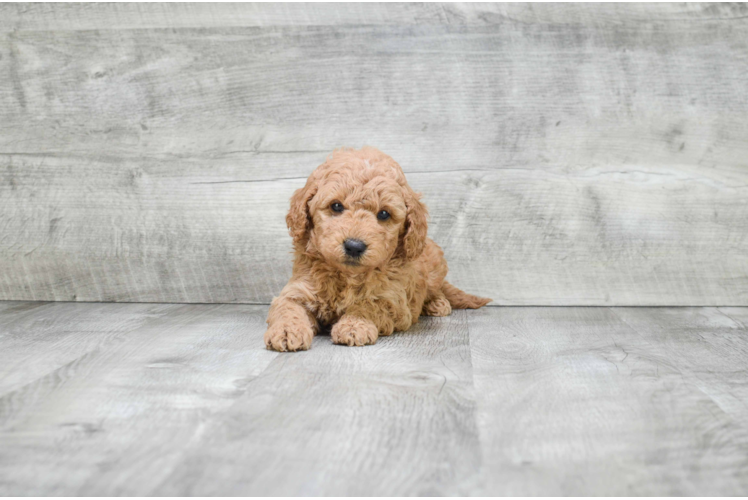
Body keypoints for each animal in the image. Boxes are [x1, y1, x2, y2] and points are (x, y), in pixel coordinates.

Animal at [262, 147, 490, 352]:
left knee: (436, 288)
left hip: (435, 265)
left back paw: (438, 304)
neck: (346, 276)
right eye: (336, 206)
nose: (354, 246)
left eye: (384, 214)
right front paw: (287, 331)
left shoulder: (393, 301)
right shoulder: (298, 289)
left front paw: (354, 325)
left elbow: (369, 305)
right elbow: (287, 307)